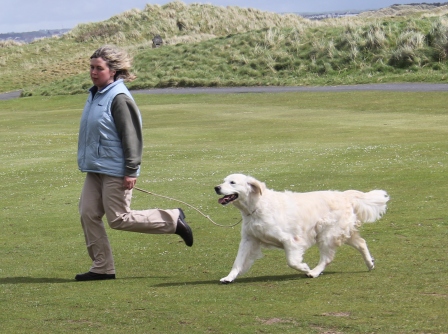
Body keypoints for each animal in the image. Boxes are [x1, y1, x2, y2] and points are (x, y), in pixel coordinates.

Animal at [214, 174, 388, 284]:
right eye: (224, 181)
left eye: (232, 182)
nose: (216, 187)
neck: (256, 207)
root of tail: (344, 195)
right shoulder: (249, 239)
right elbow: (237, 262)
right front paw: (229, 278)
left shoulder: (291, 240)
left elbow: (292, 261)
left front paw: (304, 267)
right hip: (341, 233)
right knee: (361, 242)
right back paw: (370, 263)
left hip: (327, 234)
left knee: (327, 258)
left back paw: (314, 272)